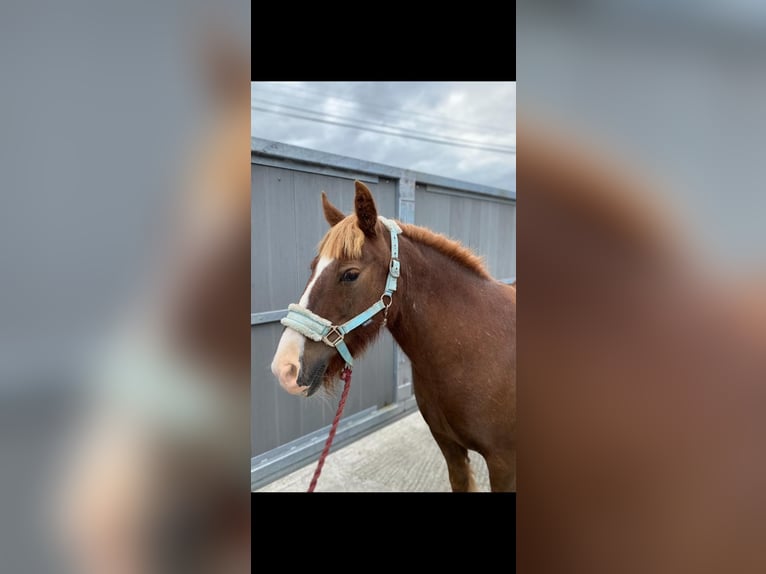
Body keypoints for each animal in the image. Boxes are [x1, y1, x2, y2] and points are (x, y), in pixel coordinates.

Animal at [270, 181, 516, 496]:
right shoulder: (450, 449)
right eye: (313, 267)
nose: (285, 367)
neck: (476, 347)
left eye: (350, 274)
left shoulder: (503, 463)